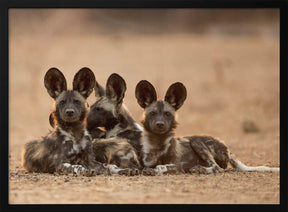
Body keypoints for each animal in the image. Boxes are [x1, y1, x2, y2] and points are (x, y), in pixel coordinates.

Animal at [135, 80, 280, 175]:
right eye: (153, 113)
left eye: (167, 114)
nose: (160, 124)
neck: (157, 144)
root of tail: (227, 148)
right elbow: (148, 167)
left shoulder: (177, 166)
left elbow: (161, 166)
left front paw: (155, 170)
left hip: (196, 141)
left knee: (218, 168)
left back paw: (200, 169)